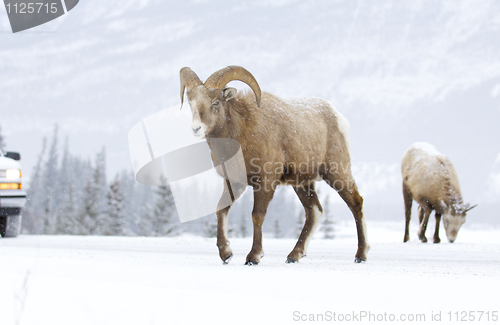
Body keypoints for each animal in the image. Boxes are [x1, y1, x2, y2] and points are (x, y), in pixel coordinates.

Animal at [182, 65, 370, 264]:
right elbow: (221, 209)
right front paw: (226, 254)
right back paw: (294, 255)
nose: (196, 128)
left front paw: (254, 257)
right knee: (314, 211)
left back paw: (361, 255)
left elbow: (257, 215)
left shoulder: (265, 182)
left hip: (337, 173)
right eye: (190, 103)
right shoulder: (234, 182)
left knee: (356, 203)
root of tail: (338, 117)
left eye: (216, 102)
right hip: (302, 184)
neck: (242, 132)